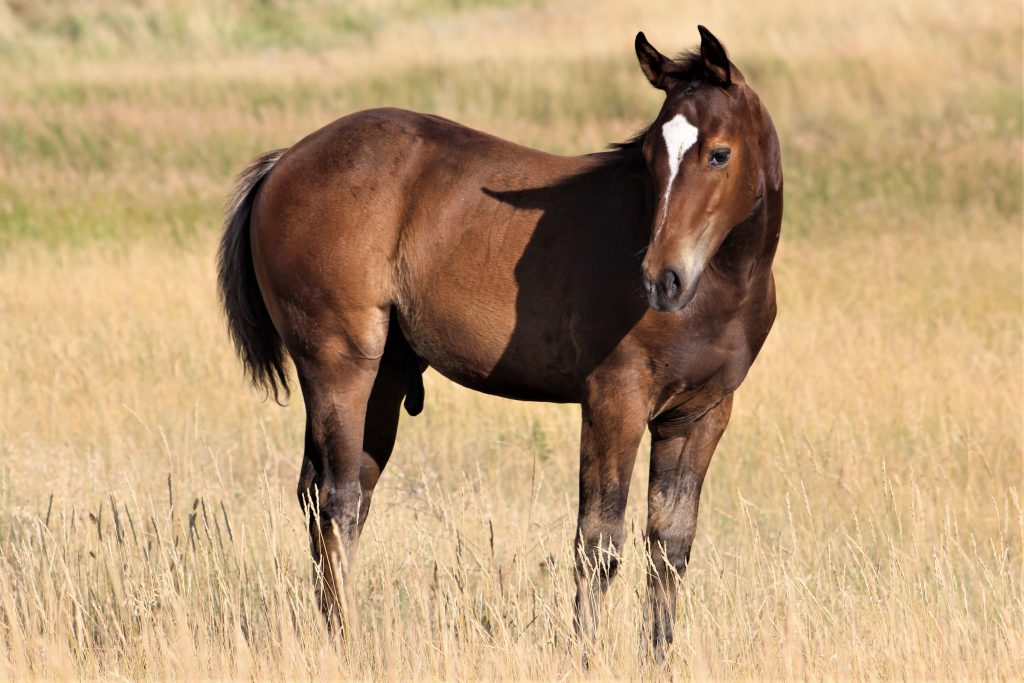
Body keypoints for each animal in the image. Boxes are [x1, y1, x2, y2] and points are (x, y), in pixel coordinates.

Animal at [217, 25, 782, 661]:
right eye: (648, 158)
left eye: (719, 153)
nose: (662, 279)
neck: (720, 289)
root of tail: (283, 161)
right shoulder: (615, 400)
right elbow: (598, 541)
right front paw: (584, 656)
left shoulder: (701, 415)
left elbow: (670, 547)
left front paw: (657, 658)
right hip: (339, 364)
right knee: (336, 499)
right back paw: (350, 640)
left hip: (384, 378)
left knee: (335, 497)